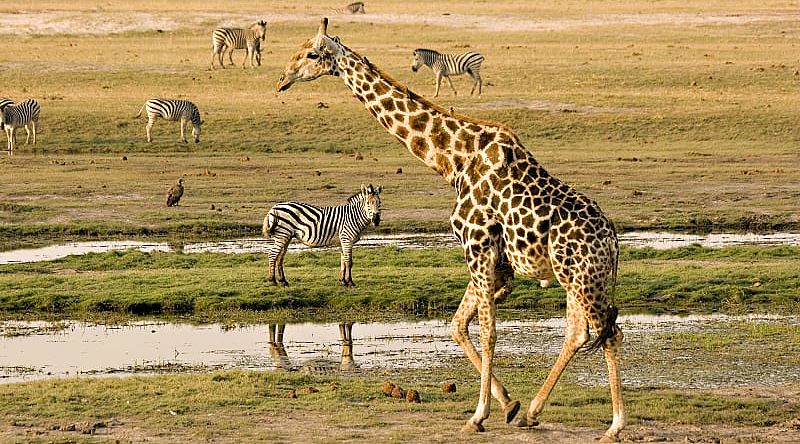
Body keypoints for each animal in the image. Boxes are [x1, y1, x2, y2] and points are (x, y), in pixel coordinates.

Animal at [276, 17, 624, 440]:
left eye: (311, 54)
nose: (282, 78)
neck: (454, 161)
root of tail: (612, 241)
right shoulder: (495, 262)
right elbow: (458, 326)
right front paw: (508, 405)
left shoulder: (478, 246)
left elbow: (487, 332)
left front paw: (478, 415)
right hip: (575, 278)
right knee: (580, 332)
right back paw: (533, 412)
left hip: (584, 279)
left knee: (609, 333)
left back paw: (615, 426)